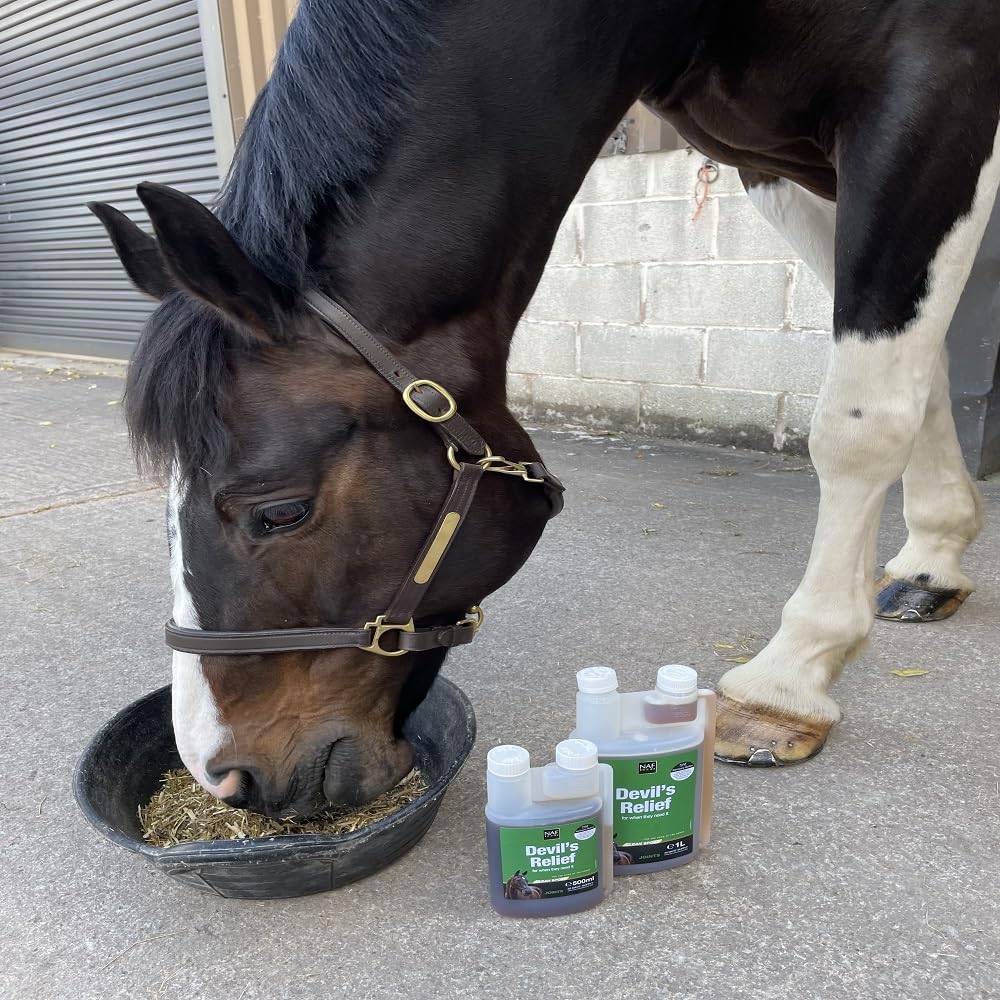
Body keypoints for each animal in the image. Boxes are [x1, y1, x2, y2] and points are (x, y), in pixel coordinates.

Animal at [90, 0, 1000, 814]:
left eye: (278, 512)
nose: (221, 775)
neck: (692, 15)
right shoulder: (774, 162)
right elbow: (917, 374)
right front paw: (931, 557)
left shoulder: (932, 93)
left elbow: (863, 416)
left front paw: (789, 678)